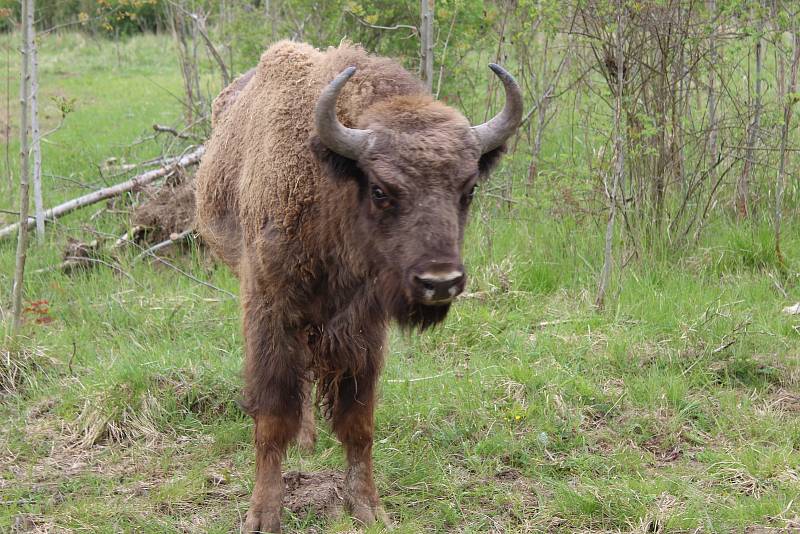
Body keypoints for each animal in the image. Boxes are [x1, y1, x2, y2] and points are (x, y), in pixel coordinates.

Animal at [192, 40, 520, 532]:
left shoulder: (363, 329)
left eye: (468, 190)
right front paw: (263, 515)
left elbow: (358, 421)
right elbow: (272, 417)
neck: (329, 187)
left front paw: (368, 507)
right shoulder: (271, 311)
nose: (439, 282)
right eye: (382, 190)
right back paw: (304, 441)